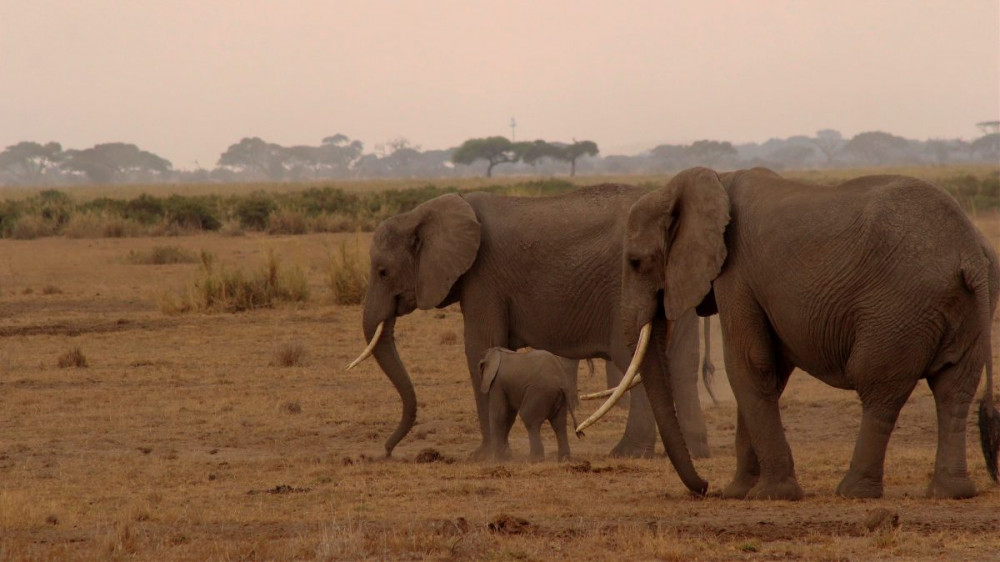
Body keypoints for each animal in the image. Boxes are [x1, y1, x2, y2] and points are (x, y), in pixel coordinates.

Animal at [348, 184, 716, 490]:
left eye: (382, 271)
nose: (386, 450)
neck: (423, 213)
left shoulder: (483, 278)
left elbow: (478, 346)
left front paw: (485, 457)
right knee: (681, 364)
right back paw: (696, 450)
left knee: (634, 362)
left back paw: (627, 453)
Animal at [608, 166, 1000, 498]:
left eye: (636, 262)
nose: (705, 488)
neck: (715, 180)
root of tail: (967, 250)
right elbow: (768, 372)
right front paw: (739, 493)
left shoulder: (736, 275)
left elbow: (748, 365)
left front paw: (771, 495)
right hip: (965, 305)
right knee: (953, 390)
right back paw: (951, 493)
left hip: (900, 307)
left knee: (880, 389)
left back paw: (853, 492)